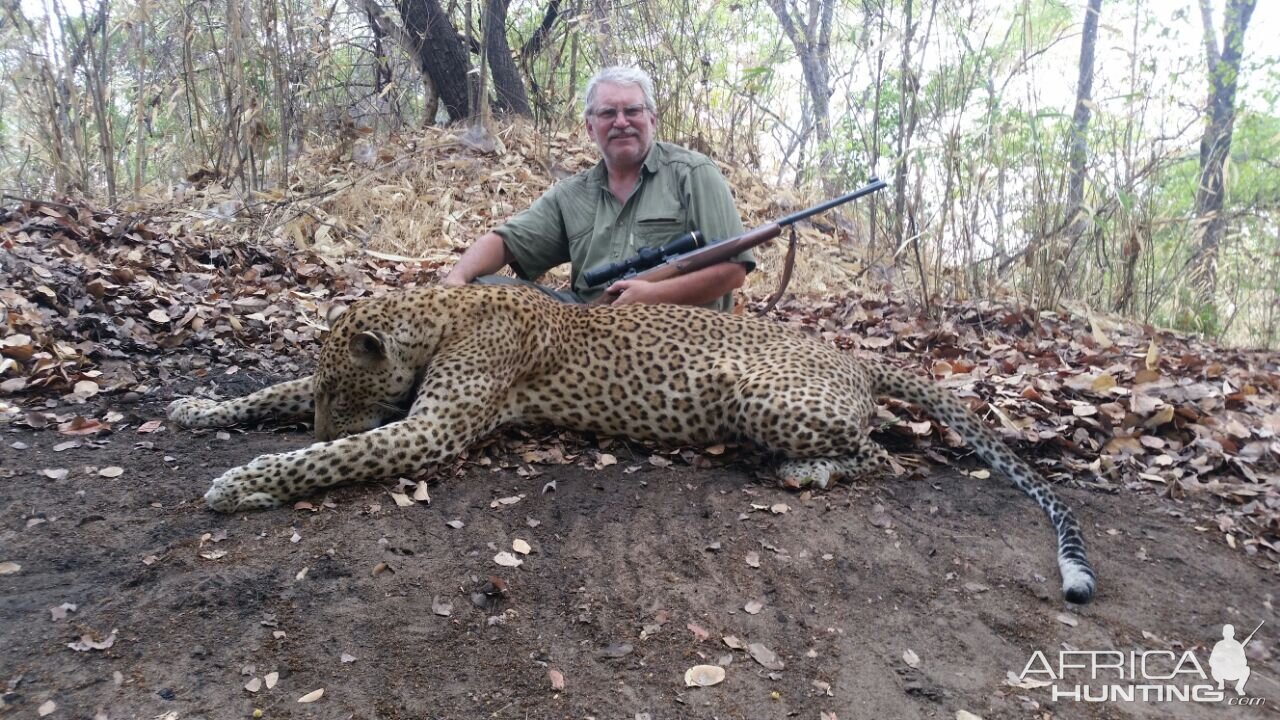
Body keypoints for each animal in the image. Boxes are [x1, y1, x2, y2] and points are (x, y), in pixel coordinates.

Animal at [168, 284, 1097, 604]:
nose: (328, 411)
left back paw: (805, 471)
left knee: (881, 454)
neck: (439, 314)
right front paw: (195, 409)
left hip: (756, 394)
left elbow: (335, 457)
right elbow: (265, 396)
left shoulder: (432, 426)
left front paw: (243, 482)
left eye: (340, 391)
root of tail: (856, 356)